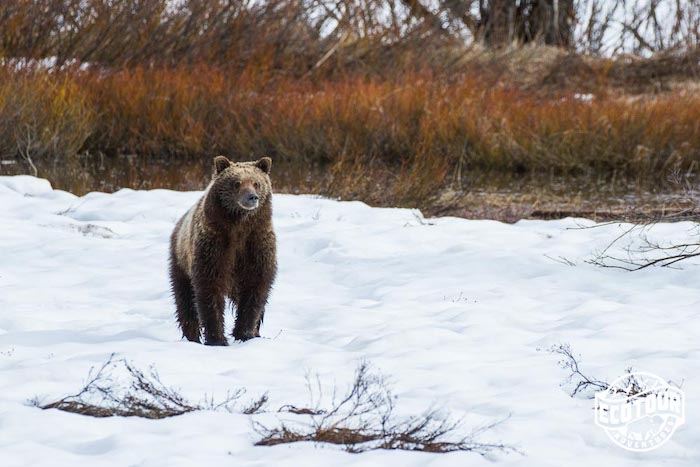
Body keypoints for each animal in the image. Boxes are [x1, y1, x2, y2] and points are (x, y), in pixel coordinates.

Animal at [169, 155, 276, 346]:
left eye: (256, 183)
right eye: (237, 183)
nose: (252, 197)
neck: (239, 226)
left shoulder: (256, 243)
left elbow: (256, 288)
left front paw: (245, 333)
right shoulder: (213, 244)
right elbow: (209, 287)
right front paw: (217, 338)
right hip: (181, 261)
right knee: (185, 301)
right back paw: (192, 336)